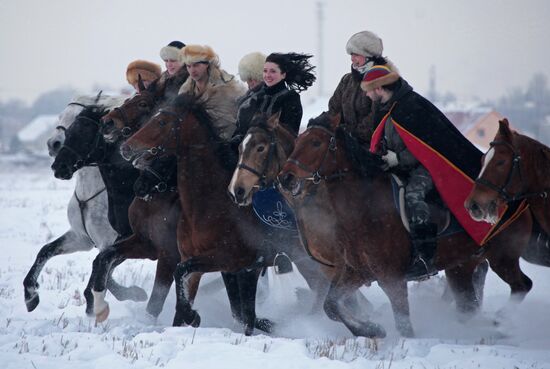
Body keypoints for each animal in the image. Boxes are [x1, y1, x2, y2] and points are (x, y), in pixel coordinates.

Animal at [23, 92, 148, 314]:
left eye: (77, 122)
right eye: (61, 116)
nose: (53, 145)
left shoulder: (118, 240)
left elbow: (102, 270)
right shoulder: (81, 238)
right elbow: (45, 251)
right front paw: (31, 295)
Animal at [278, 112, 536, 336]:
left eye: (315, 143)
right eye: (298, 141)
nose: (285, 178)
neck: (365, 207)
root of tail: (514, 198)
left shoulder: (392, 279)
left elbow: (404, 326)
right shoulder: (357, 272)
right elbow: (331, 305)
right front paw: (371, 329)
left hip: (503, 257)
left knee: (522, 285)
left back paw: (501, 323)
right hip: (461, 266)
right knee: (469, 305)